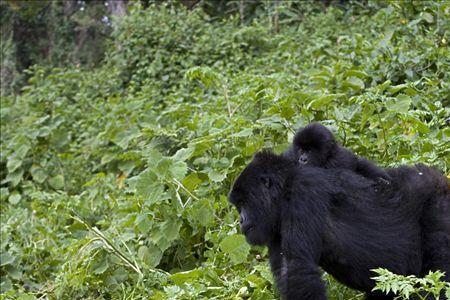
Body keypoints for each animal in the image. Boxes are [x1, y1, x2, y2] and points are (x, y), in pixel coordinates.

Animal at [230, 152, 448, 300]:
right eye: (238, 205)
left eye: (243, 202)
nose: (241, 220)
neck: (284, 189)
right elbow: (288, 271)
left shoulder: (303, 193)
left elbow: (300, 271)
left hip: (438, 204)